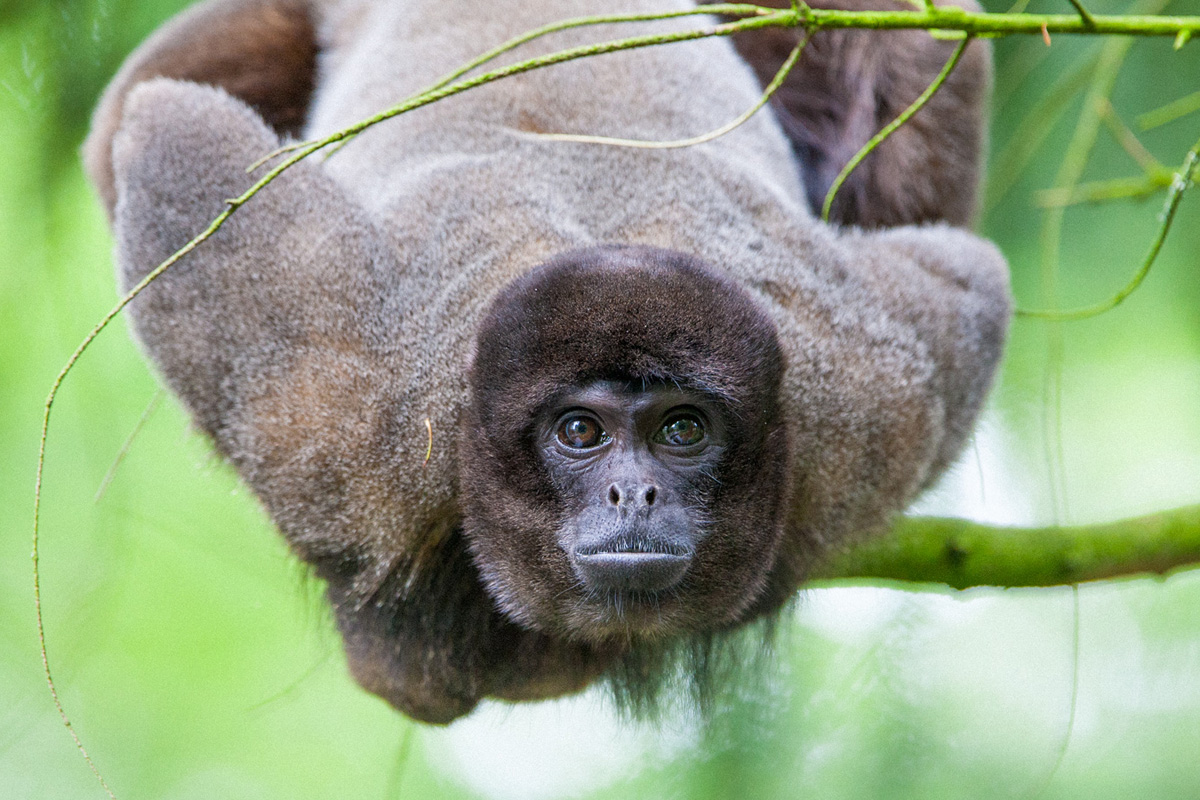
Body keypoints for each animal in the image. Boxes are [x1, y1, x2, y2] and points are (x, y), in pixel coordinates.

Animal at [83, 0, 1010, 723]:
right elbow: (167, 124)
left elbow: (972, 276)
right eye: (579, 432)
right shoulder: (333, 418)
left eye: (684, 431)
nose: (633, 494)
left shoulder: (865, 414)